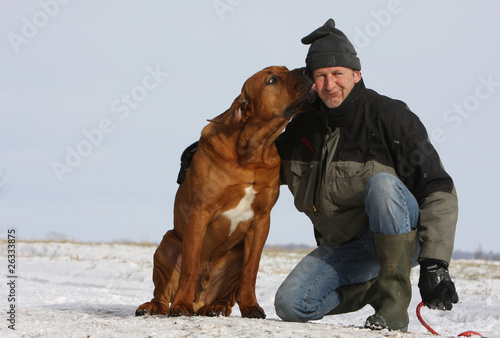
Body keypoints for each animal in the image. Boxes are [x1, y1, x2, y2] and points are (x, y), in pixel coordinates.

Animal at [135, 66, 310, 320]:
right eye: (272, 79)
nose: (307, 70)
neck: (251, 153)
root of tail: (201, 300)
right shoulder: (200, 212)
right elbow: (190, 264)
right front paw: (181, 304)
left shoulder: (261, 220)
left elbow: (251, 270)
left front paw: (251, 306)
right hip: (166, 246)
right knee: (162, 294)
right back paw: (154, 307)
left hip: (234, 256)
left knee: (226, 298)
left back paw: (215, 307)